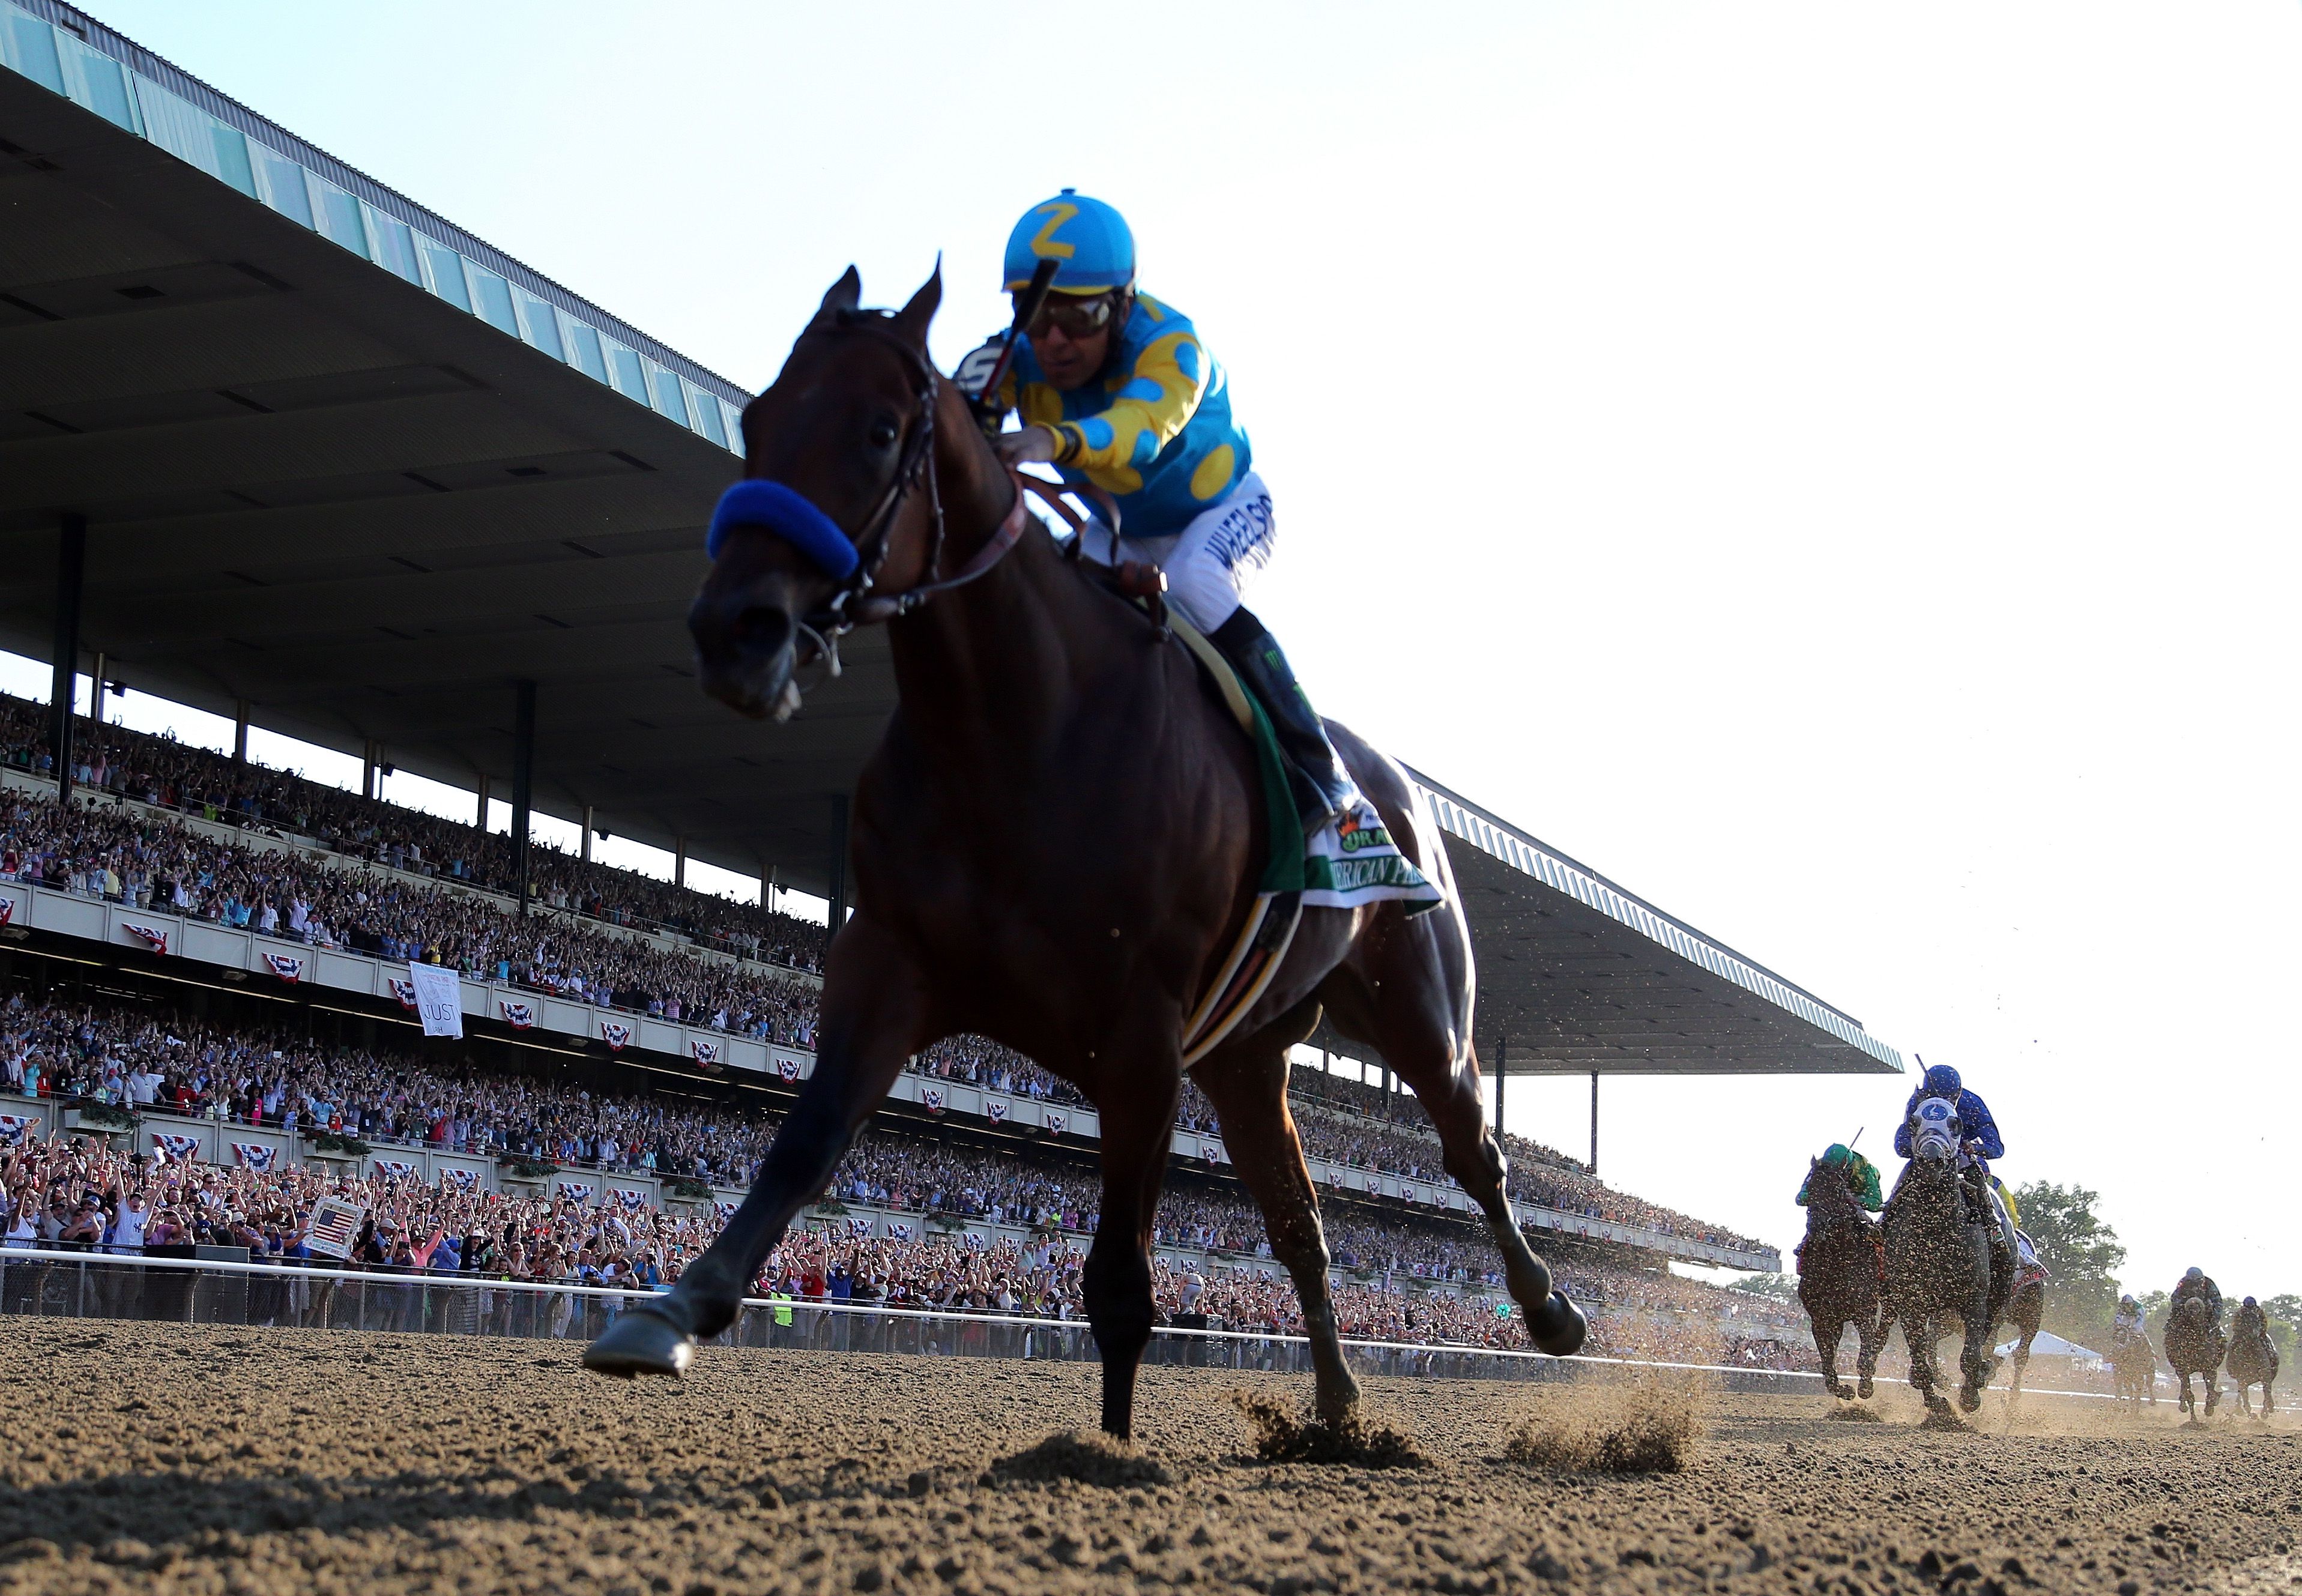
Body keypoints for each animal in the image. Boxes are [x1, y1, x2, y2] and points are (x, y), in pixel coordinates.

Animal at [575, 261, 1583, 1428]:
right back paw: (1336, 1407)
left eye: (880, 430)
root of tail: (1399, 787)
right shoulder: (892, 957)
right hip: (1244, 1058)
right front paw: (671, 1308)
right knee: (1301, 1225)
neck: (1017, 725)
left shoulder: (1139, 1036)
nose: (733, 630)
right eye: (757, 419)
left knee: (1472, 1149)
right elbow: (806, 1140)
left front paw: (1104, 1450)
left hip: (1417, 1006)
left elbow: (1119, 1285)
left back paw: (1551, 1309)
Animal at [1795, 1156, 1887, 1391]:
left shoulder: (1864, 1311)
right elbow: (1827, 1357)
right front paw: (1841, 1389)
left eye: (1837, 1189)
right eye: (1811, 1186)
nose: (1816, 1226)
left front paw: (1865, 1384)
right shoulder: (1823, 1317)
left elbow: (1867, 1345)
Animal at [1878, 1114, 2007, 1409]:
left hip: (1997, 1297)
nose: (1931, 1159)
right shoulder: (1911, 1303)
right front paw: (1938, 1406)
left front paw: (1970, 1397)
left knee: (1986, 1337)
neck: (1936, 1232)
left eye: (1956, 1123)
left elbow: (1970, 1356)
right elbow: (1920, 1360)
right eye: (1914, 1122)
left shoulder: (1974, 1299)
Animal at [2163, 1299, 2219, 1418]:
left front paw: (2210, 1408)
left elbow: (2210, 1389)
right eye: (2190, 1311)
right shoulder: (2182, 1369)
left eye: (2199, 1311)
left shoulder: (2210, 1368)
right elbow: (2189, 1394)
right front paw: (2193, 1419)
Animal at [2219, 1299, 2274, 1409]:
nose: (2255, 1335)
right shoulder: (2242, 1376)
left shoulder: (2265, 1371)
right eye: (2246, 1320)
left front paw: (2269, 1406)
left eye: (2257, 1320)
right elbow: (2244, 1392)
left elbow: (2267, 1388)